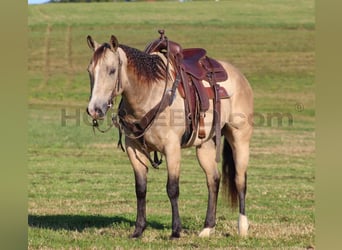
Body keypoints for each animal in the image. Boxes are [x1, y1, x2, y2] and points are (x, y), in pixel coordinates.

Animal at [85, 29, 252, 238]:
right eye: (89, 71)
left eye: (112, 70)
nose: (94, 110)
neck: (149, 94)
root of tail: (239, 76)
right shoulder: (134, 149)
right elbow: (140, 189)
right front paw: (138, 229)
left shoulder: (172, 148)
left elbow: (172, 188)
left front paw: (176, 230)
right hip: (205, 144)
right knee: (213, 180)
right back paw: (207, 228)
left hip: (239, 137)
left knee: (240, 180)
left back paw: (242, 227)